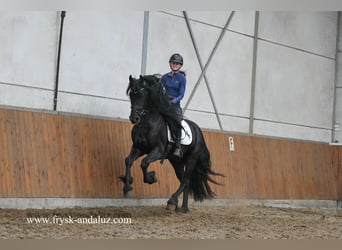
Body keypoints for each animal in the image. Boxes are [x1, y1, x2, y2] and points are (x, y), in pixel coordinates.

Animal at [119, 74, 223, 213]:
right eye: (131, 94)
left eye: (141, 94)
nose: (134, 118)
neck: (147, 122)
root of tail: (198, 131)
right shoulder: (139, 148)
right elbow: (128, 161)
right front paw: (127, 187)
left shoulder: (157, 151)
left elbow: (144, 163)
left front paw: (151, 178)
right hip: (177, 161)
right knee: (185, 181)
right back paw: (182, 208)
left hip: (192, 158)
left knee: (185, 180)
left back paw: (172, 201)